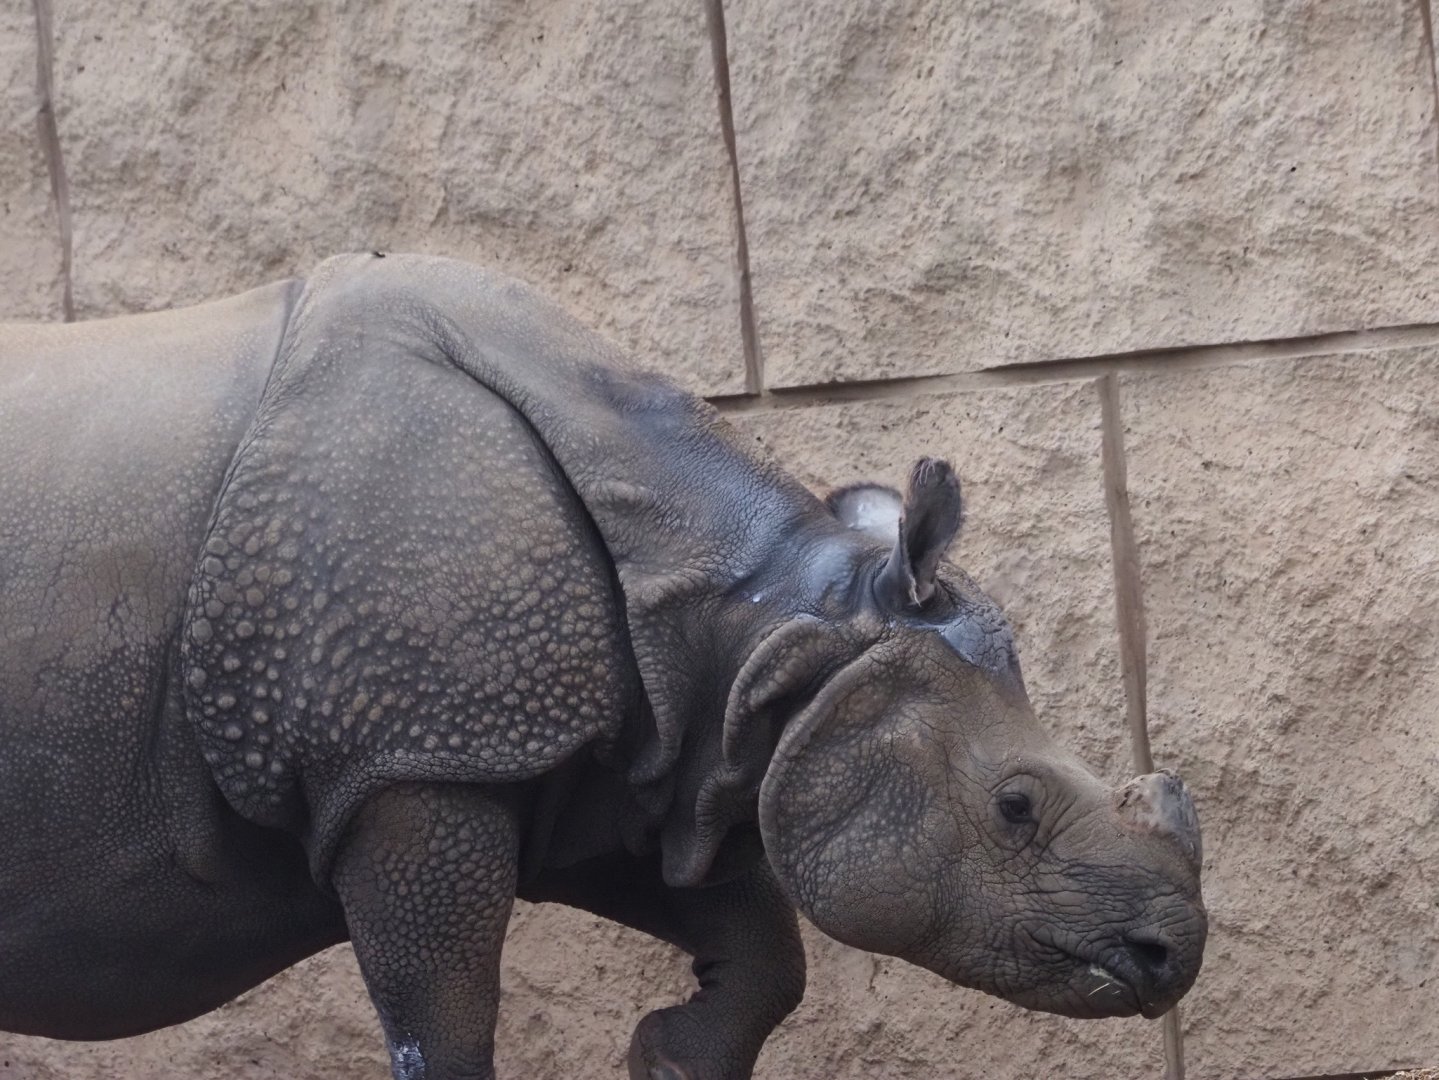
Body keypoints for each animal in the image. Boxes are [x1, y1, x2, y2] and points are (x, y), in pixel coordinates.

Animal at [0, 254, 1205, 1080]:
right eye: (1013, 806)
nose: (1169, 955)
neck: (763, 609)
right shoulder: (409, 764)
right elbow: (441, 1021)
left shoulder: (631, 753)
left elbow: (760, 945)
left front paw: (667, 1057)